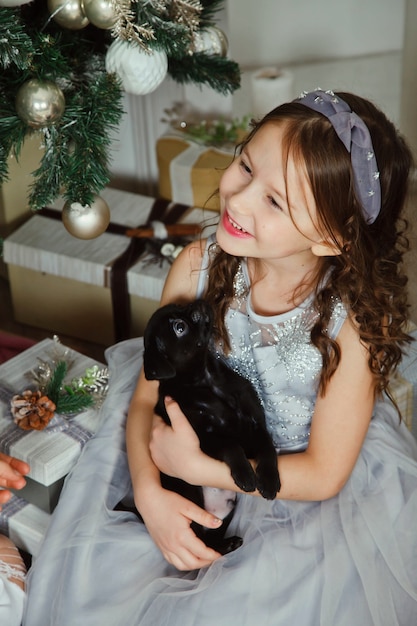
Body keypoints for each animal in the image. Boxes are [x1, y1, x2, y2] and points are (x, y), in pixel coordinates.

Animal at [141, 298, 282, 552]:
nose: (198, 303)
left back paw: (229, 544)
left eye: (180, 305)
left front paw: (268, 479)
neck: (208, 379)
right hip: (191, 494)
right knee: (200, 540)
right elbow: (230, 446)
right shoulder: (204, 439)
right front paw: (245, 474)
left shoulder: (256, 427)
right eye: (179, 328)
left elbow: (267, 450)